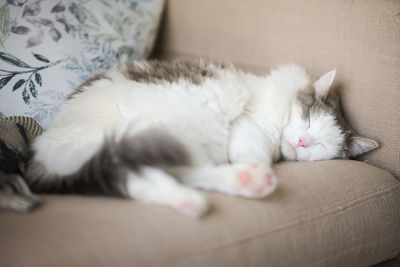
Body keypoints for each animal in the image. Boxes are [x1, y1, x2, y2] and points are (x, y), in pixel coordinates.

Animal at [24, 60, 378, 220]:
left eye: (320, 146)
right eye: (307, 120)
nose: (303, 143)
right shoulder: (249, 126)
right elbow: (256, 152)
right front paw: (261, 166)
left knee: (159, 177)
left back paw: (210, 195)